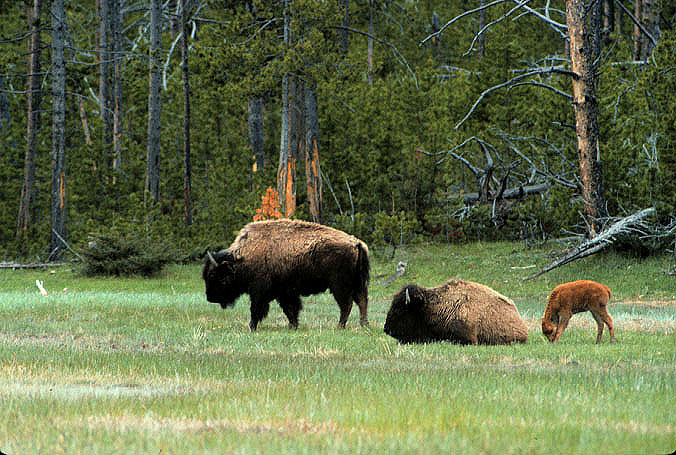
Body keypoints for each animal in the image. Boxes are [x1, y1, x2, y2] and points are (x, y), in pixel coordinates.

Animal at [202, 220, 370, 332]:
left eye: (215, 275)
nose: (209, 298)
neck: (242, 258)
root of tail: (356, 243)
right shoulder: (284, 292)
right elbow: (290, 309)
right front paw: (293, 326)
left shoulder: (260, 291)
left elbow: (256, 309)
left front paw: (251, 327)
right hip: (357, 283)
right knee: (362, 300)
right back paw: (363, 324)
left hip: (339, 285)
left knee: (347, 304)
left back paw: (340, 326)